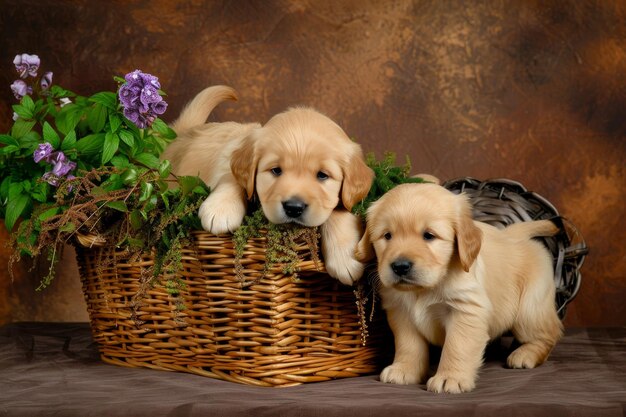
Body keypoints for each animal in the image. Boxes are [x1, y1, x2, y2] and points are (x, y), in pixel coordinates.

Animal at [163, 86, 372, 284]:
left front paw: (346, 257)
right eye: (276, 170)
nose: (293, 207)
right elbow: (231, 176)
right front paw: (221, 209)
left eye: (322, 175)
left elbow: (338, 209)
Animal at [354, 183, 564, 394]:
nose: (400, 266)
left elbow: (457, 345)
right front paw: (404, 369)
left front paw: (450, 378)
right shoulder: (401, 313)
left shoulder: (465, 309)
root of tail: (512, 235)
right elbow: (408, 344)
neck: (425, 288)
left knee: (549, 334)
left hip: (529, 309)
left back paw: (526, 354)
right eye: (387, 235)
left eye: (429, 235)